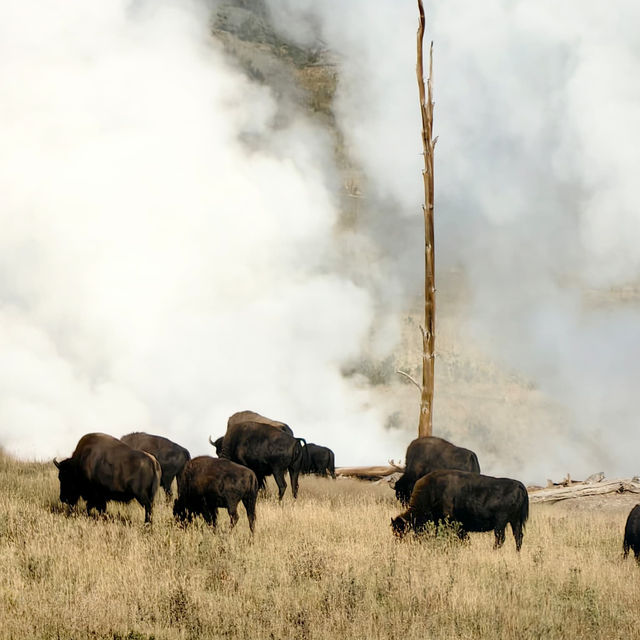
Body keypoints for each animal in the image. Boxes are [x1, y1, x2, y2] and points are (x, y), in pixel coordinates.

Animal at [392, 468, 528, 552]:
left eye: (400, 531)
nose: (397, 543)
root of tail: (519, 485)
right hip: (515, 521)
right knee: (518, 536)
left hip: (501, 522)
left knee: (500, 538)